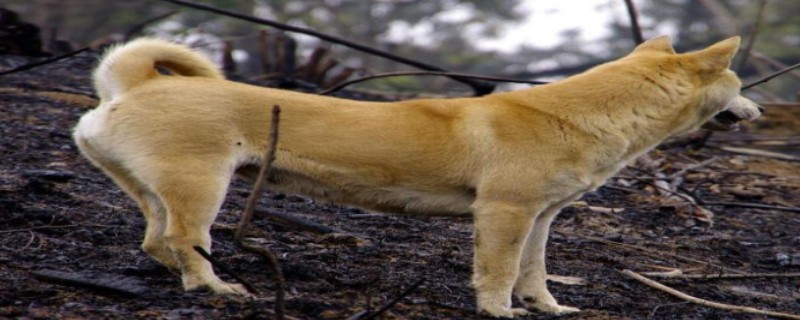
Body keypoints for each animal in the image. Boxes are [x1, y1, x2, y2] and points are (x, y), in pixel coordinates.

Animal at [73, 35, 764, 318]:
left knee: (155, 241)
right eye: (740, 81)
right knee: (185, 243)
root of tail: (130, 86)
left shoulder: (541, 217)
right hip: (202, 189)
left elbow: (535, 272)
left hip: (161, 192)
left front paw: (548, 308)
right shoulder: (504, 213)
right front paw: (499, 313)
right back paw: (215, 289)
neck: (581, 114)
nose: (758, 111)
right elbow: (500, 273)